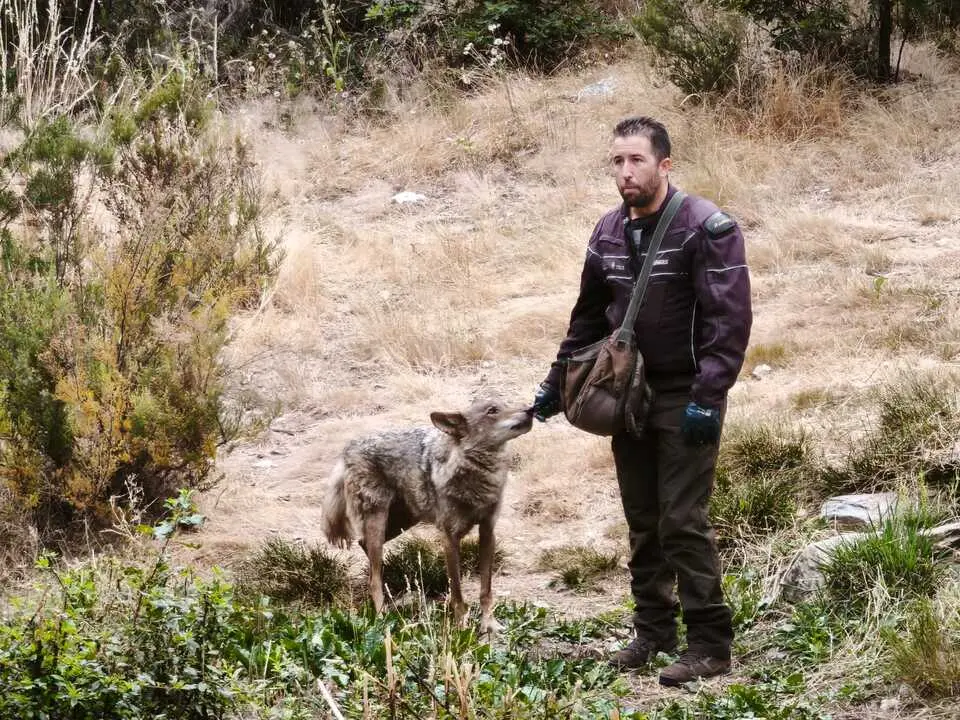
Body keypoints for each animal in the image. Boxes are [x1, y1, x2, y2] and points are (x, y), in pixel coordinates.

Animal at [321, 396, 534, 634]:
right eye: (492, 411)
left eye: (506, 403)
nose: (531, 409)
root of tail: (347, 449)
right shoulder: (449, 538)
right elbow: (457, 593)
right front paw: (461, 627)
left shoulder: (488, 531)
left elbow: (486, 590)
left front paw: (489, 624)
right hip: (380, 522)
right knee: (372, 579)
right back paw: (383, 618)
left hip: (399, 524)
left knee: (364, 546)